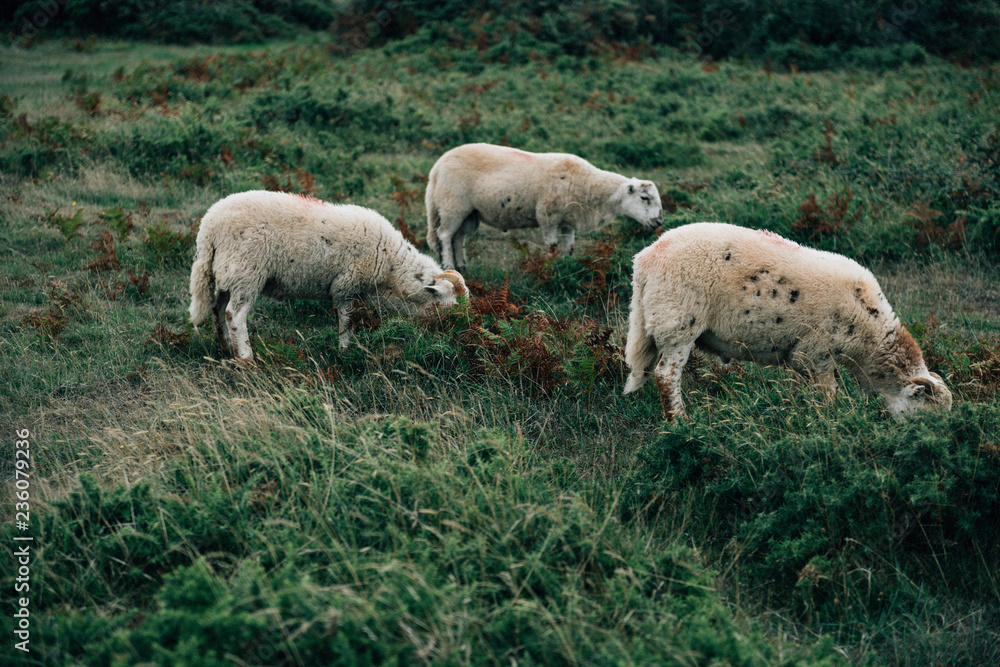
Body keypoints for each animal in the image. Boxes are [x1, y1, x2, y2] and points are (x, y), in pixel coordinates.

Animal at [189, 190, 466, 362]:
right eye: (448, 308)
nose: (459, 337)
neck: (391, 267)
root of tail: (209, 228)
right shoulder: (346, 286)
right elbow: (347, 321)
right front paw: (345, 351)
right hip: (246, 270)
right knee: (234, 315)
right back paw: (246, 358)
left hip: (226, 272)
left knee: (217, 309)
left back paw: (226, 346)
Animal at [424, 144, 664, 274]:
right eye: (644, 198)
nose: (659, 222)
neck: (588, 185)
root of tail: (436, 168)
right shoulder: (548, 215)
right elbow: (552, 246)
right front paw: (550, 269)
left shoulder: (567, 220)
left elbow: (569, 247)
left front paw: (567, 265)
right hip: (452, 205)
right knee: (444, 235)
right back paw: (449, 265)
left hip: (468, 213)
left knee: (458, 238)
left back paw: (461, 267)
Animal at [624, 224, 952, 422]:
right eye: (927, 417)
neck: (869, 340)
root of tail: (646, 259)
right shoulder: (817, 351)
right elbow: (829, 394)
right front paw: (831, 420)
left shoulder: (800, 356)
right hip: (677, 320)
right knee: (667, 375)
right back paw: (680, 421)